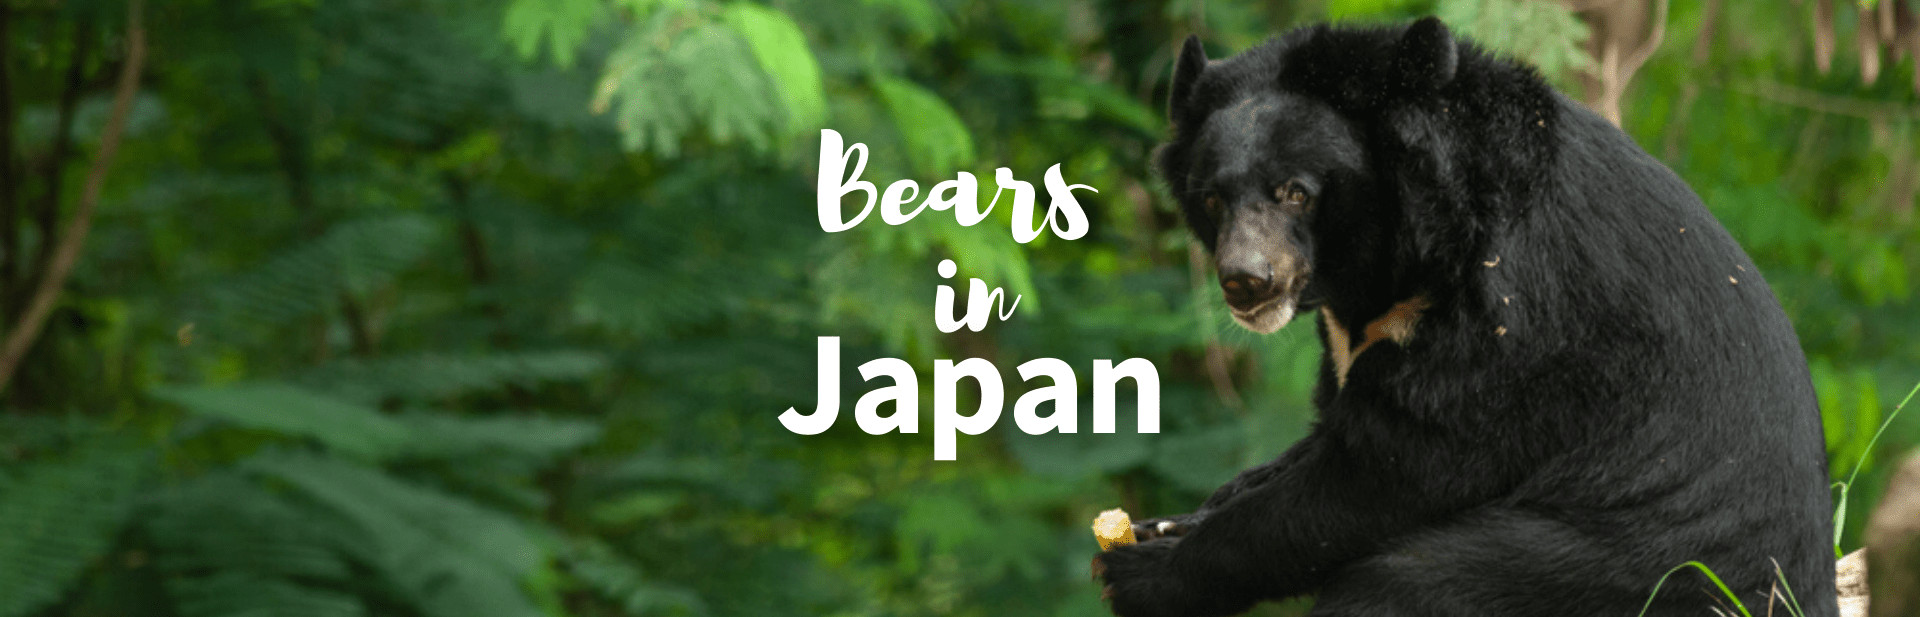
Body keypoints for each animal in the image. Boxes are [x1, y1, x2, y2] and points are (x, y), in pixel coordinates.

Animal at [1092, 17, 1838, 617]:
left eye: (1295, 192)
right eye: (1213, 198)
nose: (1247, 281)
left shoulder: (1504, 322)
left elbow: (1394, 466)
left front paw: (1143, 570)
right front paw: (1169, 522)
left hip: (1637, 561)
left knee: (1405, 581)